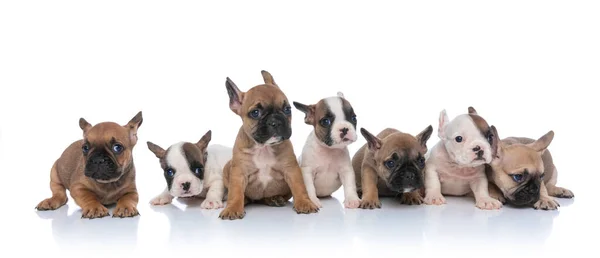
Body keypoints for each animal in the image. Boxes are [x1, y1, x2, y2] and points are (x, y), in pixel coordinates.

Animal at [219, 70, 322, 220]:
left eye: (287, 109)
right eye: (255, 113)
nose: (276, 121)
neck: (264, 148)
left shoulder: (292, 170)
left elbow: (299, 187)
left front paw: (304, 203)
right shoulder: (239, 173)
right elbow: (235, 192)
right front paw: (232, 208)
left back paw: (274, 199)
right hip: (228, 166)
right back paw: (246, 200)